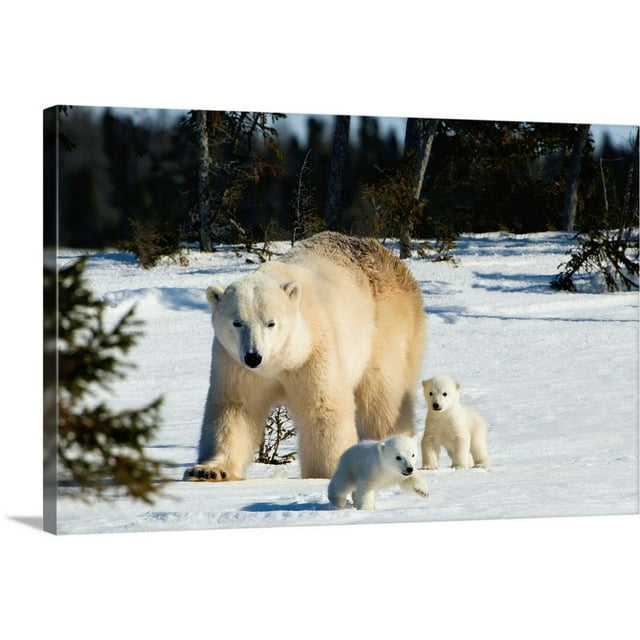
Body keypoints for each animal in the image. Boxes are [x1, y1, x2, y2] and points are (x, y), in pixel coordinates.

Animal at [184, 231, 427, 481]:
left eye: (271, 322)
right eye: (237, 322)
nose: (254, 357)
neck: (282, 360)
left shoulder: (313, 351)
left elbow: (323, 407)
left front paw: (327, 472)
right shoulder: (235, 364)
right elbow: (236, 408)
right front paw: (209, 470)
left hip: (385, 327)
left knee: (383, 395)